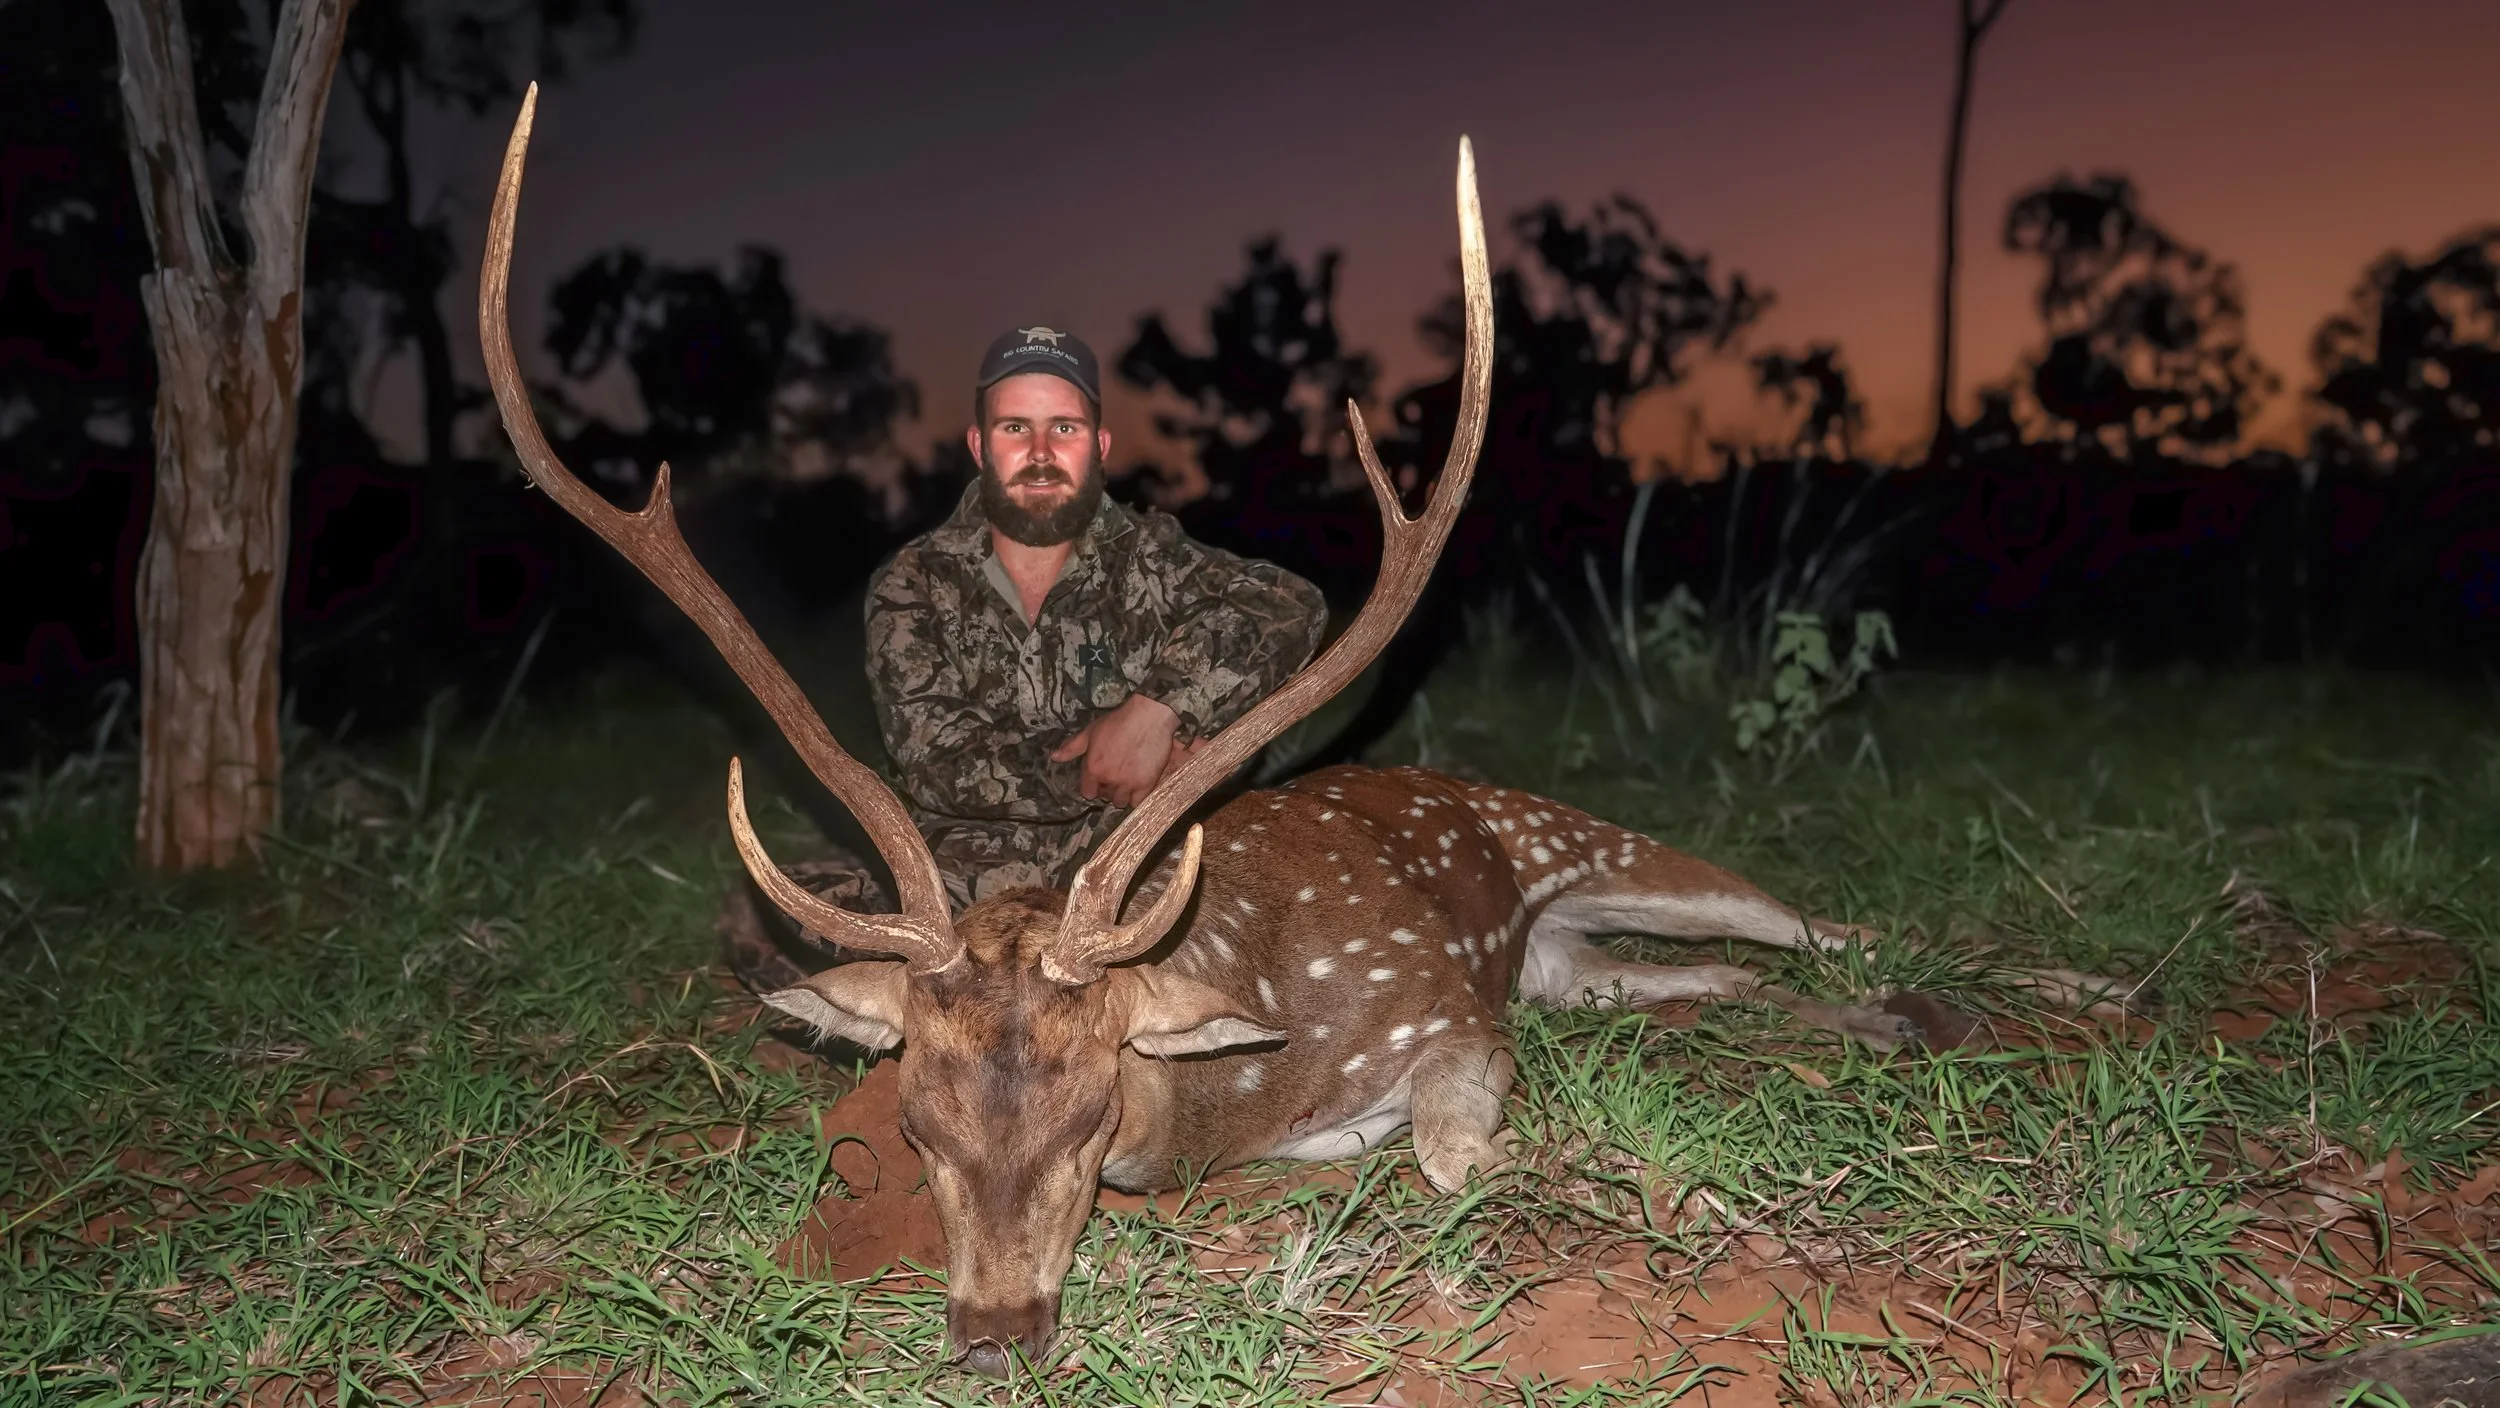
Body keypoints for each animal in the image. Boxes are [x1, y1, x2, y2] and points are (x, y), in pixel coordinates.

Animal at [479, 86, 2139, 1379]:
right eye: (919, 1121)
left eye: (1090, 1111)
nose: (999, 1335)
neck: (1236, 1096)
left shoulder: (1449, 1017)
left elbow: (1456, 1154)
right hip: (1575, 959)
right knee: (1713, 984)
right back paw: (1892, 1023)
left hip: (1605, 849)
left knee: (1824, 925)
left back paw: (2063, 991)